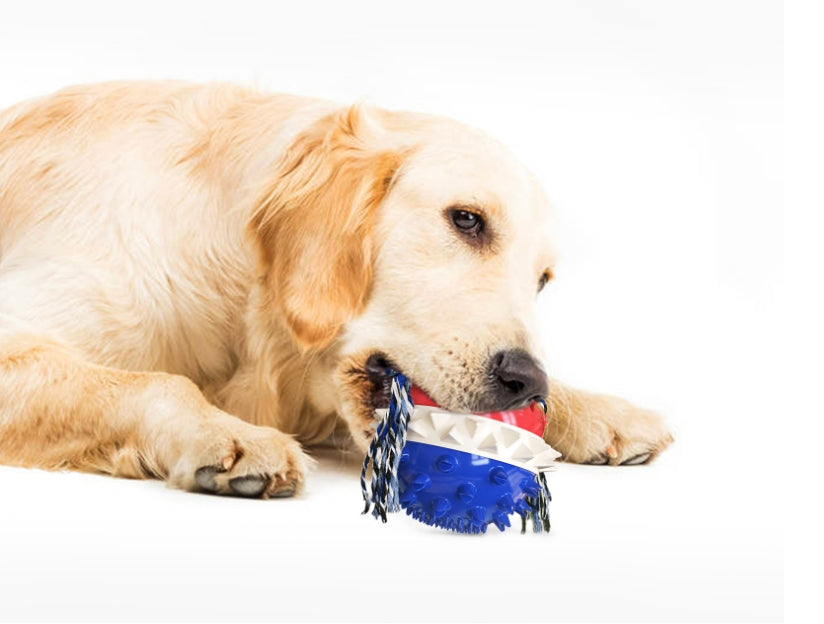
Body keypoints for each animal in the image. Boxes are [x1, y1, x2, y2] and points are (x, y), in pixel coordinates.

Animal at [0, 81, 668, 498]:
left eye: (543, 280)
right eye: (466, 219)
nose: (524, 378)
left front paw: (597, 410)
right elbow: (159, 381)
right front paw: (229, 436)